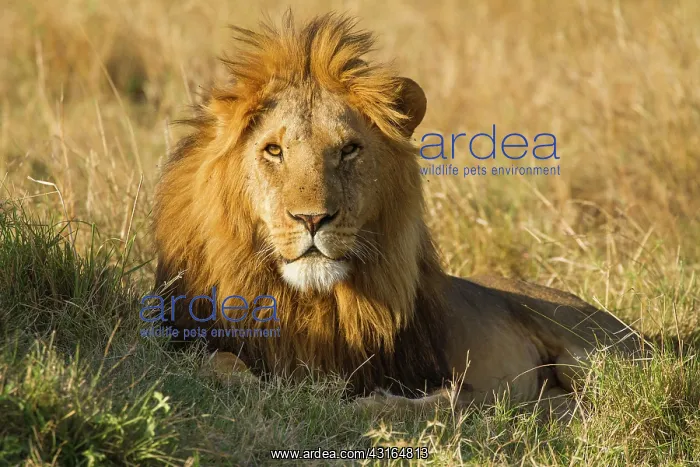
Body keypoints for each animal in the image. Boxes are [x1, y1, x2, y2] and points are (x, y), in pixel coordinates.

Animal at [152, 12, 649, 415]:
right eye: (273, 150)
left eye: (349, 150)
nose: (312, 220)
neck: (310, 301)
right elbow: (217, 364)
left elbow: (438, 401)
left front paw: (375, 405)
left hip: (586, 351)